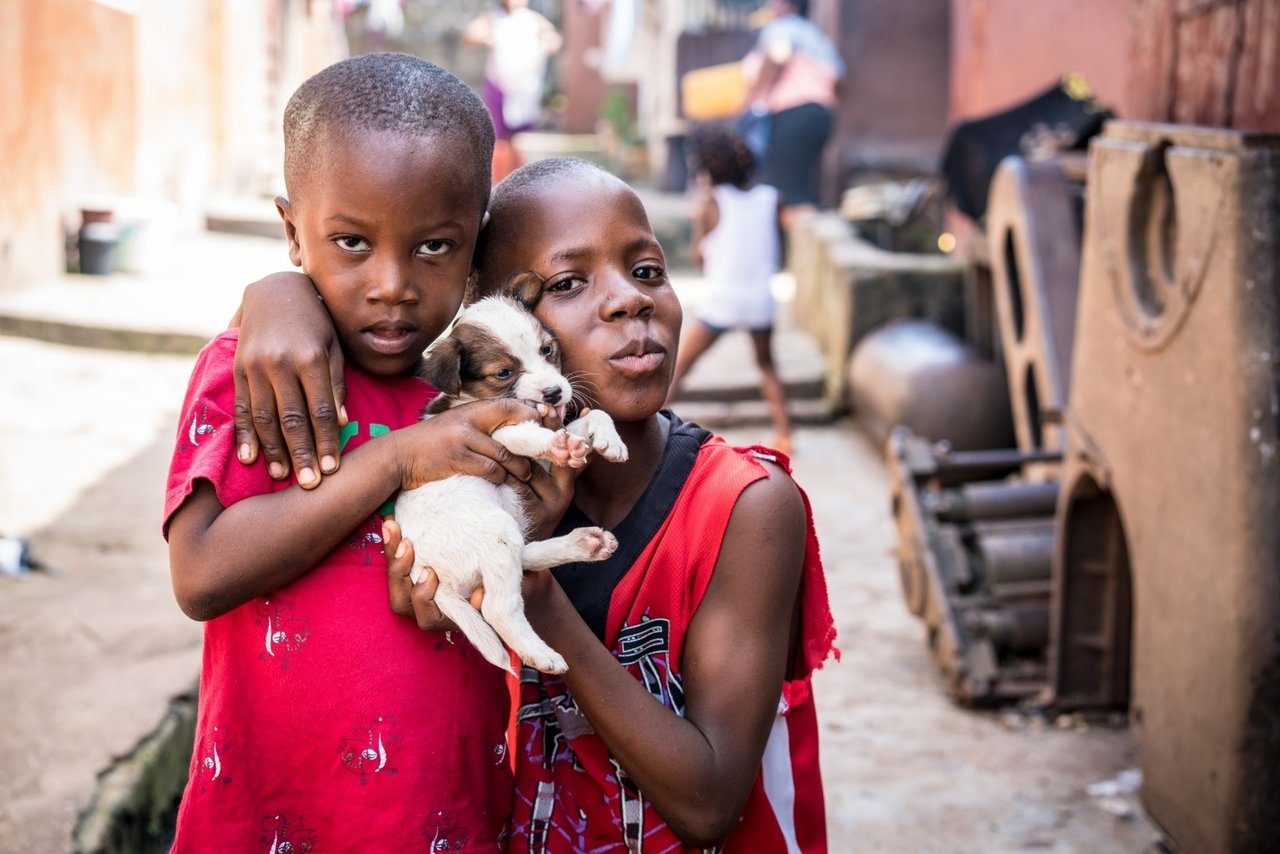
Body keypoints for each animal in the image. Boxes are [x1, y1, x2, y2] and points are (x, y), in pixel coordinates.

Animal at [391, 273, 627, 676]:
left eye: (548, 350)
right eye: (503, 373)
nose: (554, 392)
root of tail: (425, 572)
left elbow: (590, 417)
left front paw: (608, 439)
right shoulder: (491, 433)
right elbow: (530, 435)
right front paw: (560, 445)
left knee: (524, 557)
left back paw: (583, 545)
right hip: (495, 531)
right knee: (498, 607)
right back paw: (541, 654)